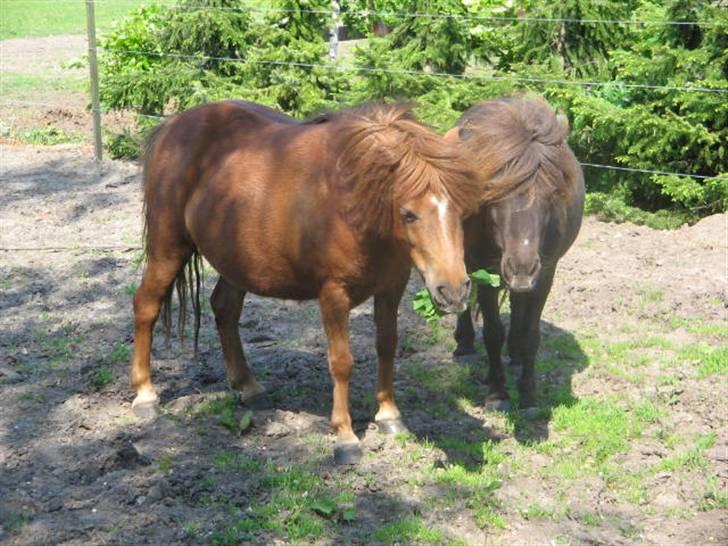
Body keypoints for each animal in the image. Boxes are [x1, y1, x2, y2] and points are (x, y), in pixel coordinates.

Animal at [130, 100, 483, 464]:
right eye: (409, 214)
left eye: (461, 212)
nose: (454, 291)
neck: (355, 205)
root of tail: (172, 126)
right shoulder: (334, 295)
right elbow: (341, 362)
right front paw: (345, 436)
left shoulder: (391, 287)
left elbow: (387, 346)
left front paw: (389, 416)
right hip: (168, 248)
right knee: (146, 306)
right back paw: (145, 395)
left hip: (237, 260)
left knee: (224, 309)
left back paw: (248, 387)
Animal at [446, 97, 585, 409]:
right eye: (493, 195)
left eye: (551, 195)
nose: (521, 269)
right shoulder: (485, 271)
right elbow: (492, 332)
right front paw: (497, 392)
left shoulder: (544, 273)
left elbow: (532, 334)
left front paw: (528, 393)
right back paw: (464, 343)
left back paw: (517, 354)